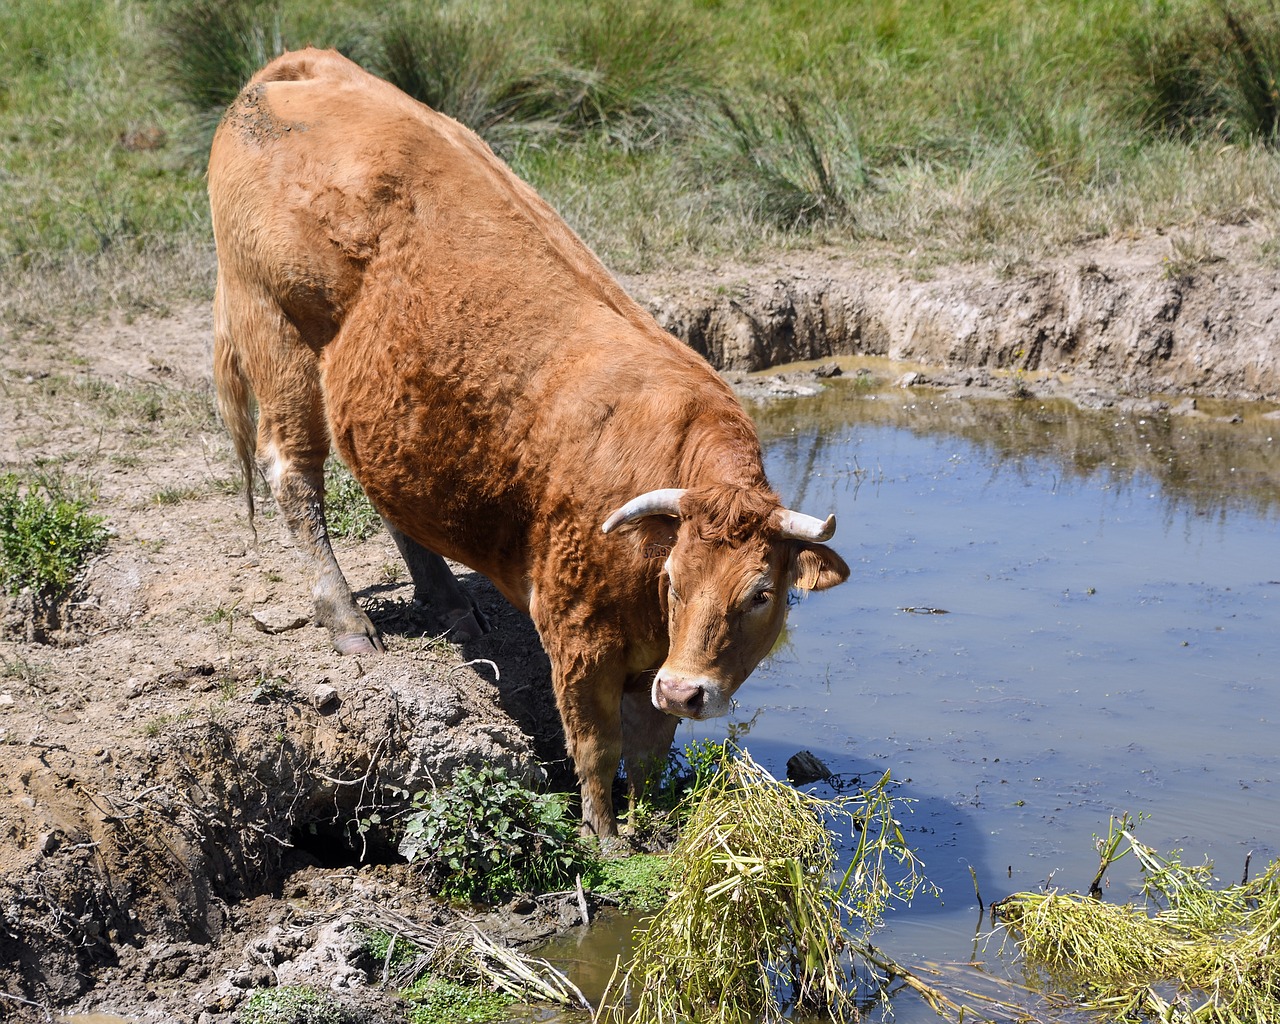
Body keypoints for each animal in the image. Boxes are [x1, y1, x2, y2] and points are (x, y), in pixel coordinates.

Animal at [209, 48, 849, 834]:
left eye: (761, 594)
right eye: (675, 580)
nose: (688, 690)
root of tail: (302, 65)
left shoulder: (652, 668)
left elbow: (648, 748)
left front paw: (650, 825)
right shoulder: (577, 639)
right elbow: (596, 747)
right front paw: (605, 837)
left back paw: (448, 601)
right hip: (276, 334)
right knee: (293, 477)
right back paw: (347, 619)